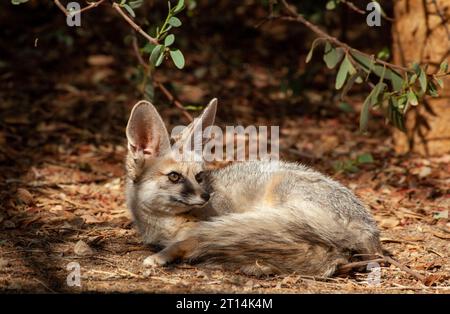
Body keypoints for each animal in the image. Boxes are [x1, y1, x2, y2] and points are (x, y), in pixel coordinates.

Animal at [125, 98, 382, 278]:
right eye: (174, 177)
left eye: (198, 176)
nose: (207, 196)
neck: (162, 223)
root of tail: (368, 226)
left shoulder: (201, 230)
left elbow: (184, 242)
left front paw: (161, 256)